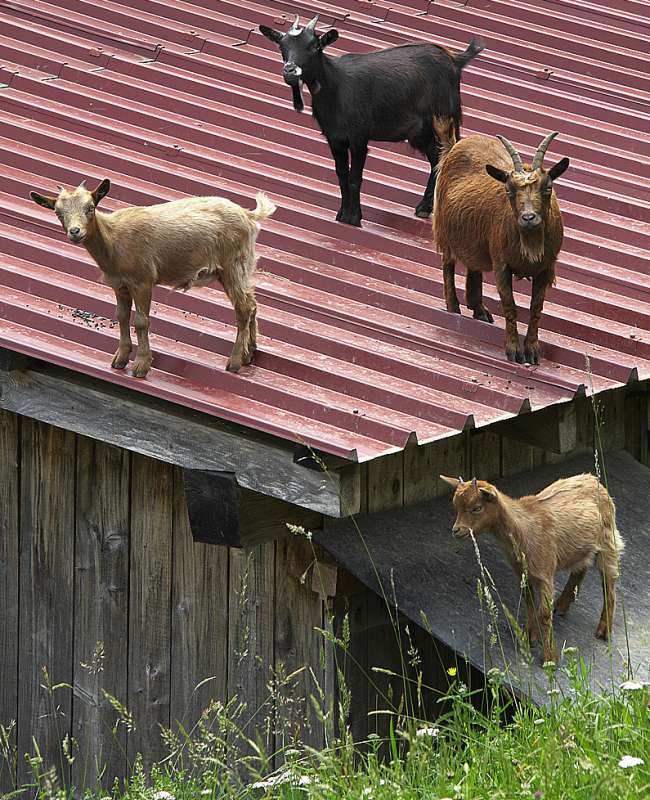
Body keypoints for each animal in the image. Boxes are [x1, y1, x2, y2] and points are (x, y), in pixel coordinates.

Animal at [31, 180, 274, 378]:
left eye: (91, 207)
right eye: (58, 212)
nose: (75, 231)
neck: (113, 240)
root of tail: (249, 216)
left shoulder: (142, 280)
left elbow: (141, 321)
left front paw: (141, 366)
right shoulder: (119, 285)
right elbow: (121, 316)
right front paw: (120, 359)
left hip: (233, 264)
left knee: (243, 308)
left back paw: (234, 362)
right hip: (242, 267)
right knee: (252, 303)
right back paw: (249, 353)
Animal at [258, 16, 480, 228]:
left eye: (314, 46)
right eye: (282, 46)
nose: (290, 70)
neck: (336, 87)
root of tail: (455, 60)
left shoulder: (359, 137)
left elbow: (355, 177)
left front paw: (354, 218)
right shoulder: (335, 138)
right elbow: (341, 174)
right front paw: (342, 214)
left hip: (447, 117)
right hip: (420, 131)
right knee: (436, 157)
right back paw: (424, 207)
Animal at [436, 126, 568, 366]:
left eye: (548, 187)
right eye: (509, 190)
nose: (528, 218)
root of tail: (456, 145)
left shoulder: (547, 268)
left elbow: (536, 307)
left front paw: (532, 351)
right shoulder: (501, 265)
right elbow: (510, 305)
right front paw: (514, 350)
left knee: (473, 266)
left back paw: (479, 310)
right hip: (444, 229)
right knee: (447, 264)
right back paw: (454, 307)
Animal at [440, 472, 624, 664]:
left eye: (476, 508)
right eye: (456, 507)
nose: (456, 530)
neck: (522, 528)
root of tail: (593, 479)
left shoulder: (545, 572)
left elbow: (544, 613)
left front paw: (550, 658)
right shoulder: (522, 572)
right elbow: (528, 601)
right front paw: (529, 637)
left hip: (608, 541)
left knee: (609, 585)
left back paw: (604, 630)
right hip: (582, 546)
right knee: (581, 567)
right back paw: (563, 604)